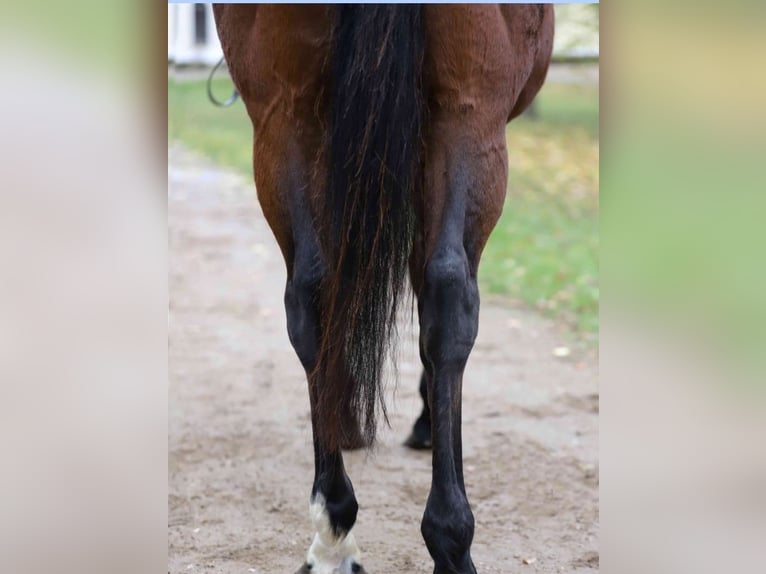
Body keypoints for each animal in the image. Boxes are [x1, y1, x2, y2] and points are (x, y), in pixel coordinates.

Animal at [213, 4, 556, 574]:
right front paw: (423, 420)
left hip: (284, 117)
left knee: (310, 294)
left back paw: (333, 530)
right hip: (469, 114)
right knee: (447, 290)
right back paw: (449, 540)